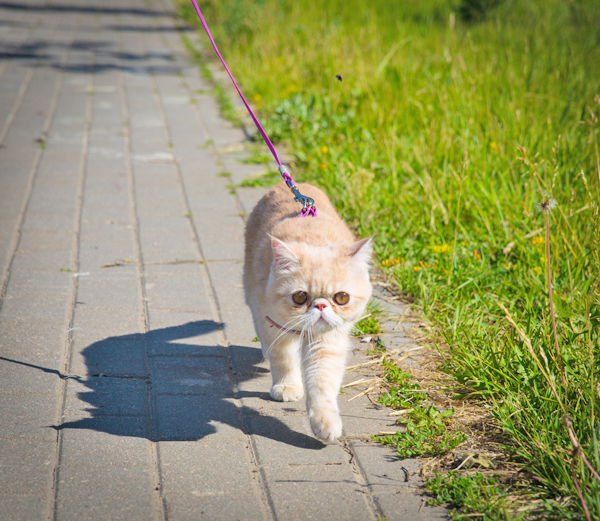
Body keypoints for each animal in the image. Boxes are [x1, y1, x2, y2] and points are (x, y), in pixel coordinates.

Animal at [243, 181, 372, 440]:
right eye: (300, 297)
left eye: (341, 298)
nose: (321, 305)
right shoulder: (272, 325)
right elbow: (283, 360)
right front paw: (287, 386)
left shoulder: (328, 341)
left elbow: (321, 382)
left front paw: (325, 421)